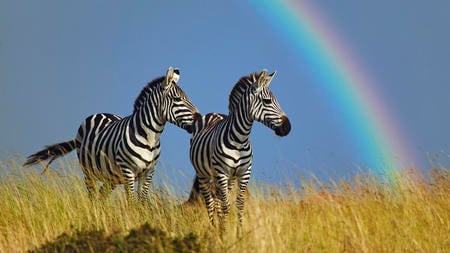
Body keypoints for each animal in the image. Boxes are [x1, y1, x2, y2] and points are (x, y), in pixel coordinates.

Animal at [24, 66, 200, 202]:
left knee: (102, 196)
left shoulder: (148, 173)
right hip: (89, 172)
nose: (199, 118)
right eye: (178, 99)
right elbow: (132, 202)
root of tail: (100, 113)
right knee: (92, 197)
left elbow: (142, 203)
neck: (151, 137)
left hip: (112, 177)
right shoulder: (128, 171)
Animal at [188, 69, 290, 227]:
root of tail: (213, 113)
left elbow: (239, 204)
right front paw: (225, 231)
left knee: (217, 202)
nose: (287, 127)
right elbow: (226, 206)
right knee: (210, 203)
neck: (239, 140)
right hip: (203, 174)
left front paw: (239, 231)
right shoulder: (222, 172)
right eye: (267, 101)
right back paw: (214, 228)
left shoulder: (244, 173)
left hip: (225, 178)